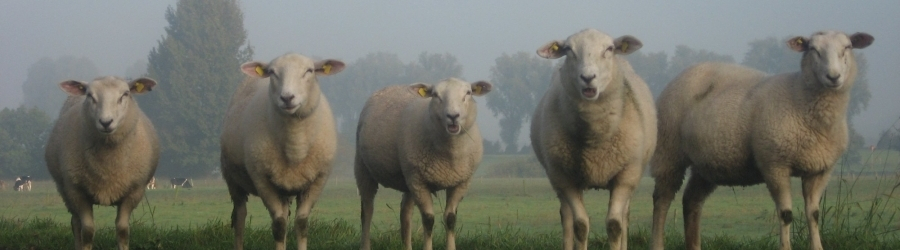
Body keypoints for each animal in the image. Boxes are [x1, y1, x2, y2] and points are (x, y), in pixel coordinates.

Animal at [44, 76, 162, 250]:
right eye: (90, 96)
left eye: (125, 94)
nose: (106, 122)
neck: (107, 167)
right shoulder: (77, 191)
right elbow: (87, 231)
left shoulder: (134, 191)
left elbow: (122, 230)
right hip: (65, 189)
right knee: (75, 223)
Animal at [218, 52, 344, 250]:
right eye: (272, 72)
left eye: (309, 71)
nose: (287, 98)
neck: (295, 144)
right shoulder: (262, 179)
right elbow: (279, 225)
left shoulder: (317, 180)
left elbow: (301, 223)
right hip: (232, 177)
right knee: (240, 216)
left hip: (283, 185)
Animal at [356, 78, 492, 250]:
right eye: (435, 95)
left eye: (468, 93)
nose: (453, 116)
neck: (450, 155)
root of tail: (393, 86)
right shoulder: (419, 182)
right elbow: (428, 220)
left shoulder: (461, 182)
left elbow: (451, 219)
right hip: (364, 168)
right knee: (367, 210)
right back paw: (365, 243)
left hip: (408, 178)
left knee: (405, 213)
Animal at [532, 29, 656, 250]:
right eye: (568, 50)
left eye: (609, 49)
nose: (588, 77)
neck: (594, 140)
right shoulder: (565, 178)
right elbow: (580, 225)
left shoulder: (626, 175)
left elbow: (615, 225)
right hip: (559, 177)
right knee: (566, 217)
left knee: (624, 216)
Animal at [652, 30, 876, 249]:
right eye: (813, 49)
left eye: (847, 47)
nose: (833, 76)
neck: (800, 97)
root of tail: (688, 70)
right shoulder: (775, 164)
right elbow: (786, 214)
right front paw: (785, 247)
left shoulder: (820, 169)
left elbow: (814, 214)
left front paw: (817, 246)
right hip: (668, 150)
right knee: (661, 200)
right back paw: (657, 243)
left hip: (707, 164)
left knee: (691, 200)